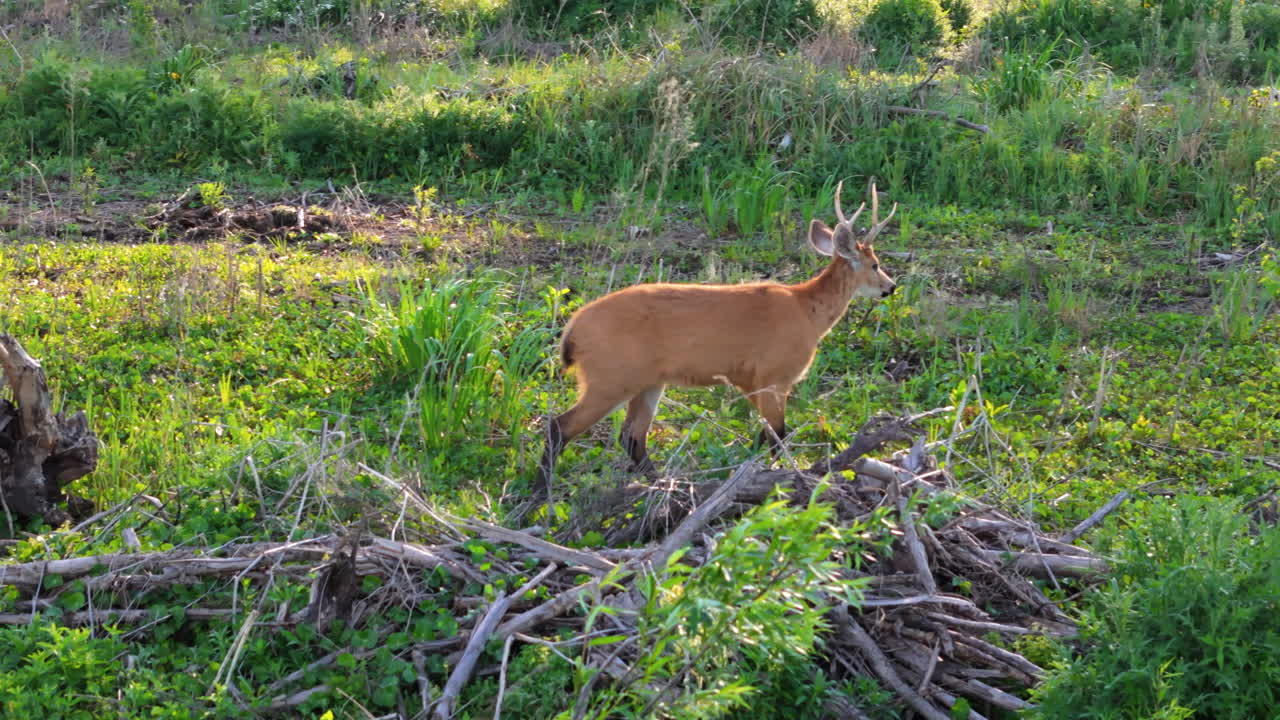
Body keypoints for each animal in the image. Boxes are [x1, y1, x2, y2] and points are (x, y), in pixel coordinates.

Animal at [535, 181, 899, 492]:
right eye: (875, 264)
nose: (891, 287)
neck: (808, 312)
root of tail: (572, 329)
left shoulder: (751, 381)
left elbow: (763, 437)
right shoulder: (774, 376)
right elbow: (778, 437)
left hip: (648, 381)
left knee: (632, 438)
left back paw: (663, 484)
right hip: (611, 377)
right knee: (560, 427)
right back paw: (542, 492)